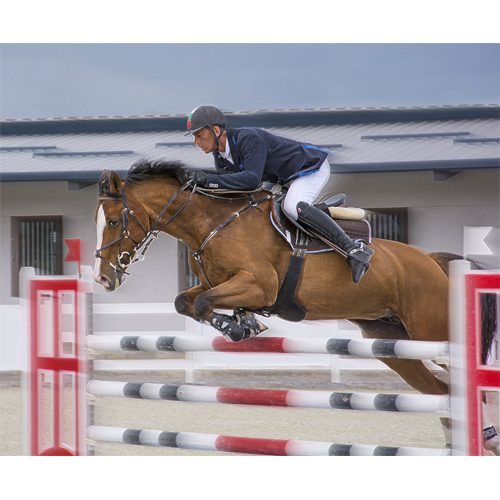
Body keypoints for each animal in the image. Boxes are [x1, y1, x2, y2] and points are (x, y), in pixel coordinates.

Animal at [92, 159, 498, 454]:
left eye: (112, 221)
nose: (103, 279)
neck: (213, 221)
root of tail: (433, 262)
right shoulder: (217, 283)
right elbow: (186, 302)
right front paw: (242, 323)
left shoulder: (259, 284)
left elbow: (205, 303)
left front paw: (239, 326)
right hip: (393, 344)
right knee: (441, 392)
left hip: (433, 333)